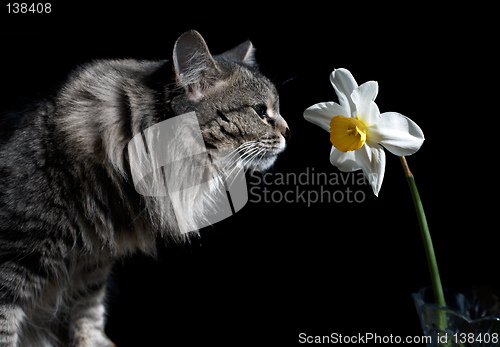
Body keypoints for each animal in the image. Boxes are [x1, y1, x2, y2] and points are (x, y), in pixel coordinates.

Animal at [0, 30, 290, 347]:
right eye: (260, 111)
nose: (288, 131)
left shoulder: (92, 267)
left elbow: (87, 318)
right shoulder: (15, 260)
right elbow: (7, 328)